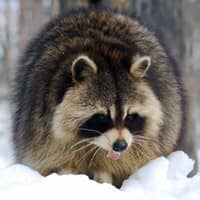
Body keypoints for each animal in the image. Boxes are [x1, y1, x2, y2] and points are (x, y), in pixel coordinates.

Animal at [12, 6, 186, 188]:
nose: (120, 146)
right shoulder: (43, 131)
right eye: (101, 117)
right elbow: (59, 162)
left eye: (130, 116)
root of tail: (97, 11)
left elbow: (113, 167)